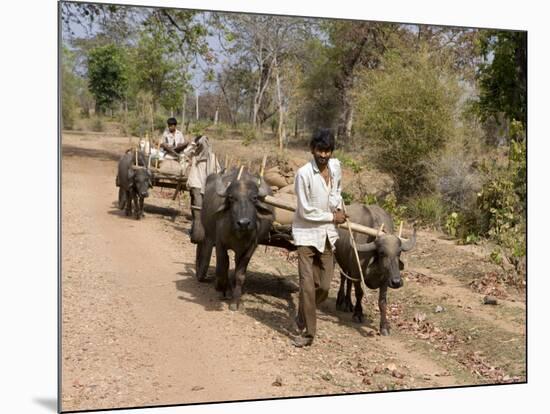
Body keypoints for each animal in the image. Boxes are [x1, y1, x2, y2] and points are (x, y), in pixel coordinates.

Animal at [198, 167, 276, 308]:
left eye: (254, 198)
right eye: (231, 198)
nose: (244, 223)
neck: (238, 234)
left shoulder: (251, 247)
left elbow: (240, 274)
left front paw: (235, 301)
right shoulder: (220, 243)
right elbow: (222, 267)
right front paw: (222, 288)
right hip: (208, 235)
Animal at [334, 204, 416, 336]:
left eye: (399, 253)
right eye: (382, 252)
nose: (397, 282)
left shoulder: (385, 280)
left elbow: (382, 302)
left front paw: (384, 326)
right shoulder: (357, 273)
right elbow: (359, 293)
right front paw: (358, 314)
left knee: (349, 281)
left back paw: (348, 304)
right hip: (342, 263)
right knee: (343, 278)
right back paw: (340, 301)